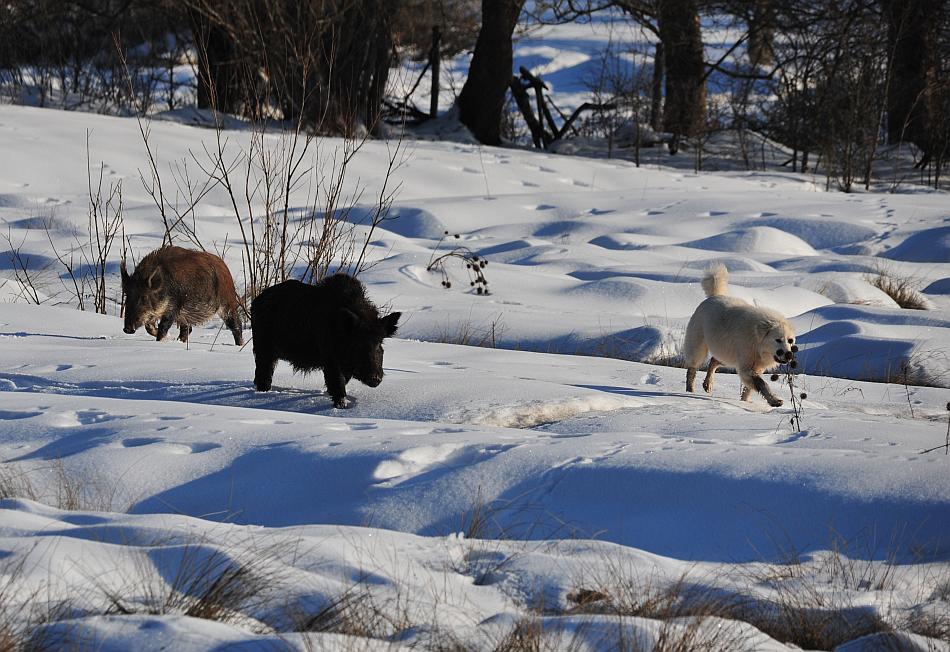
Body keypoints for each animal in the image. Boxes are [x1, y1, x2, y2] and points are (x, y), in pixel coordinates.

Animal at [684, 262, 796, 404]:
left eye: (790, 340)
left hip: (727, 354)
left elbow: (750, 389)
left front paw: (745, 402)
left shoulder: (756, 367)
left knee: (714, 361)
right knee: (692, 369)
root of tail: (713, 296)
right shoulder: (746, 368)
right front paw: (774, 400)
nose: (789, 354)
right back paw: (689, 391)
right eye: (778, 339)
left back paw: (708, 384)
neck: (757, 342)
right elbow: (762, 384)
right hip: (698, 347)